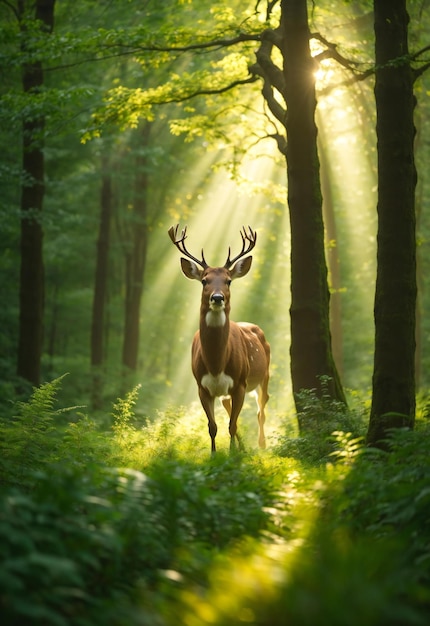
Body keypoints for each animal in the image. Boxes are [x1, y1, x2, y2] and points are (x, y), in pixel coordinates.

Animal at [168, 222, 268, 450]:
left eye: (228, 281)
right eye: (204, 281)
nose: (217, 297)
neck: (216, 365)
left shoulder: (240, 383)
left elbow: (232, 425)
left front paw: (232, 455)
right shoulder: (202, 387)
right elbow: (213, 427)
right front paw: (215, 455)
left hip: (263, 375)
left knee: (261, 409)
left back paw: (261, 445)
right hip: (225, 393)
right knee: (231, 409)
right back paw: (244, 447)